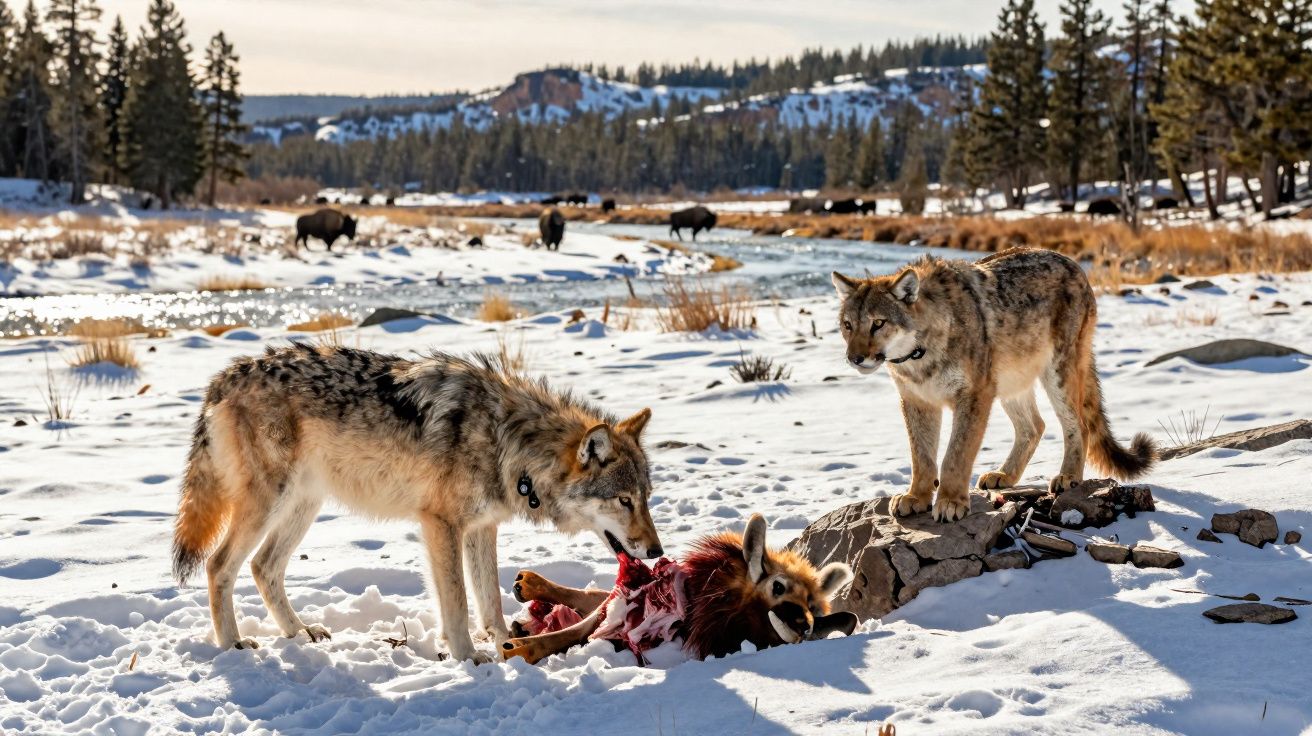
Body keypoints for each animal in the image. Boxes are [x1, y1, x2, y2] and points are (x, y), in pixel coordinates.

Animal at [171, 344, 662, 662]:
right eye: (624, 500)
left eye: (646, 499)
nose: (657, 551)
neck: (509, 442)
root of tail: (224, 377)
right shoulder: (440, 523)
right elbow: (458, 601)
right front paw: (469, 656)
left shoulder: (482, 528)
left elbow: (489, 601)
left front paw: (505, 644)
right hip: (269, 505)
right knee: (219, 565)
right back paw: (233, 645)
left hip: (303, 505)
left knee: (263, 567)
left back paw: (299, 633)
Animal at [500, 513, 855, 665]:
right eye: (778, 586)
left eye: (812, 604)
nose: (805, 625)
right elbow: (573, 632)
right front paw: (519, 648)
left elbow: (576, 629)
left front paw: (519, 644)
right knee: (590, 598)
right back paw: (527, 589)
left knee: (589, 598)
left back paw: (526, 598)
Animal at [832, 248, 1156, 522]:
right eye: (848, 325)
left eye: (878, 323)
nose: (854, 358)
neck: (919, 358)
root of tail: (1073, 263)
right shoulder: (917, 401)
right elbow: (921, 457)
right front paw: (916, 497)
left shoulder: (973, 395)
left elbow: (955, 456)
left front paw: (950, 502)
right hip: (1010, 386)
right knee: (1034, 427)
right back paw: (1004, 475)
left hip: (1056, 376)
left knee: (1078, 425)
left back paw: (1068, 477)